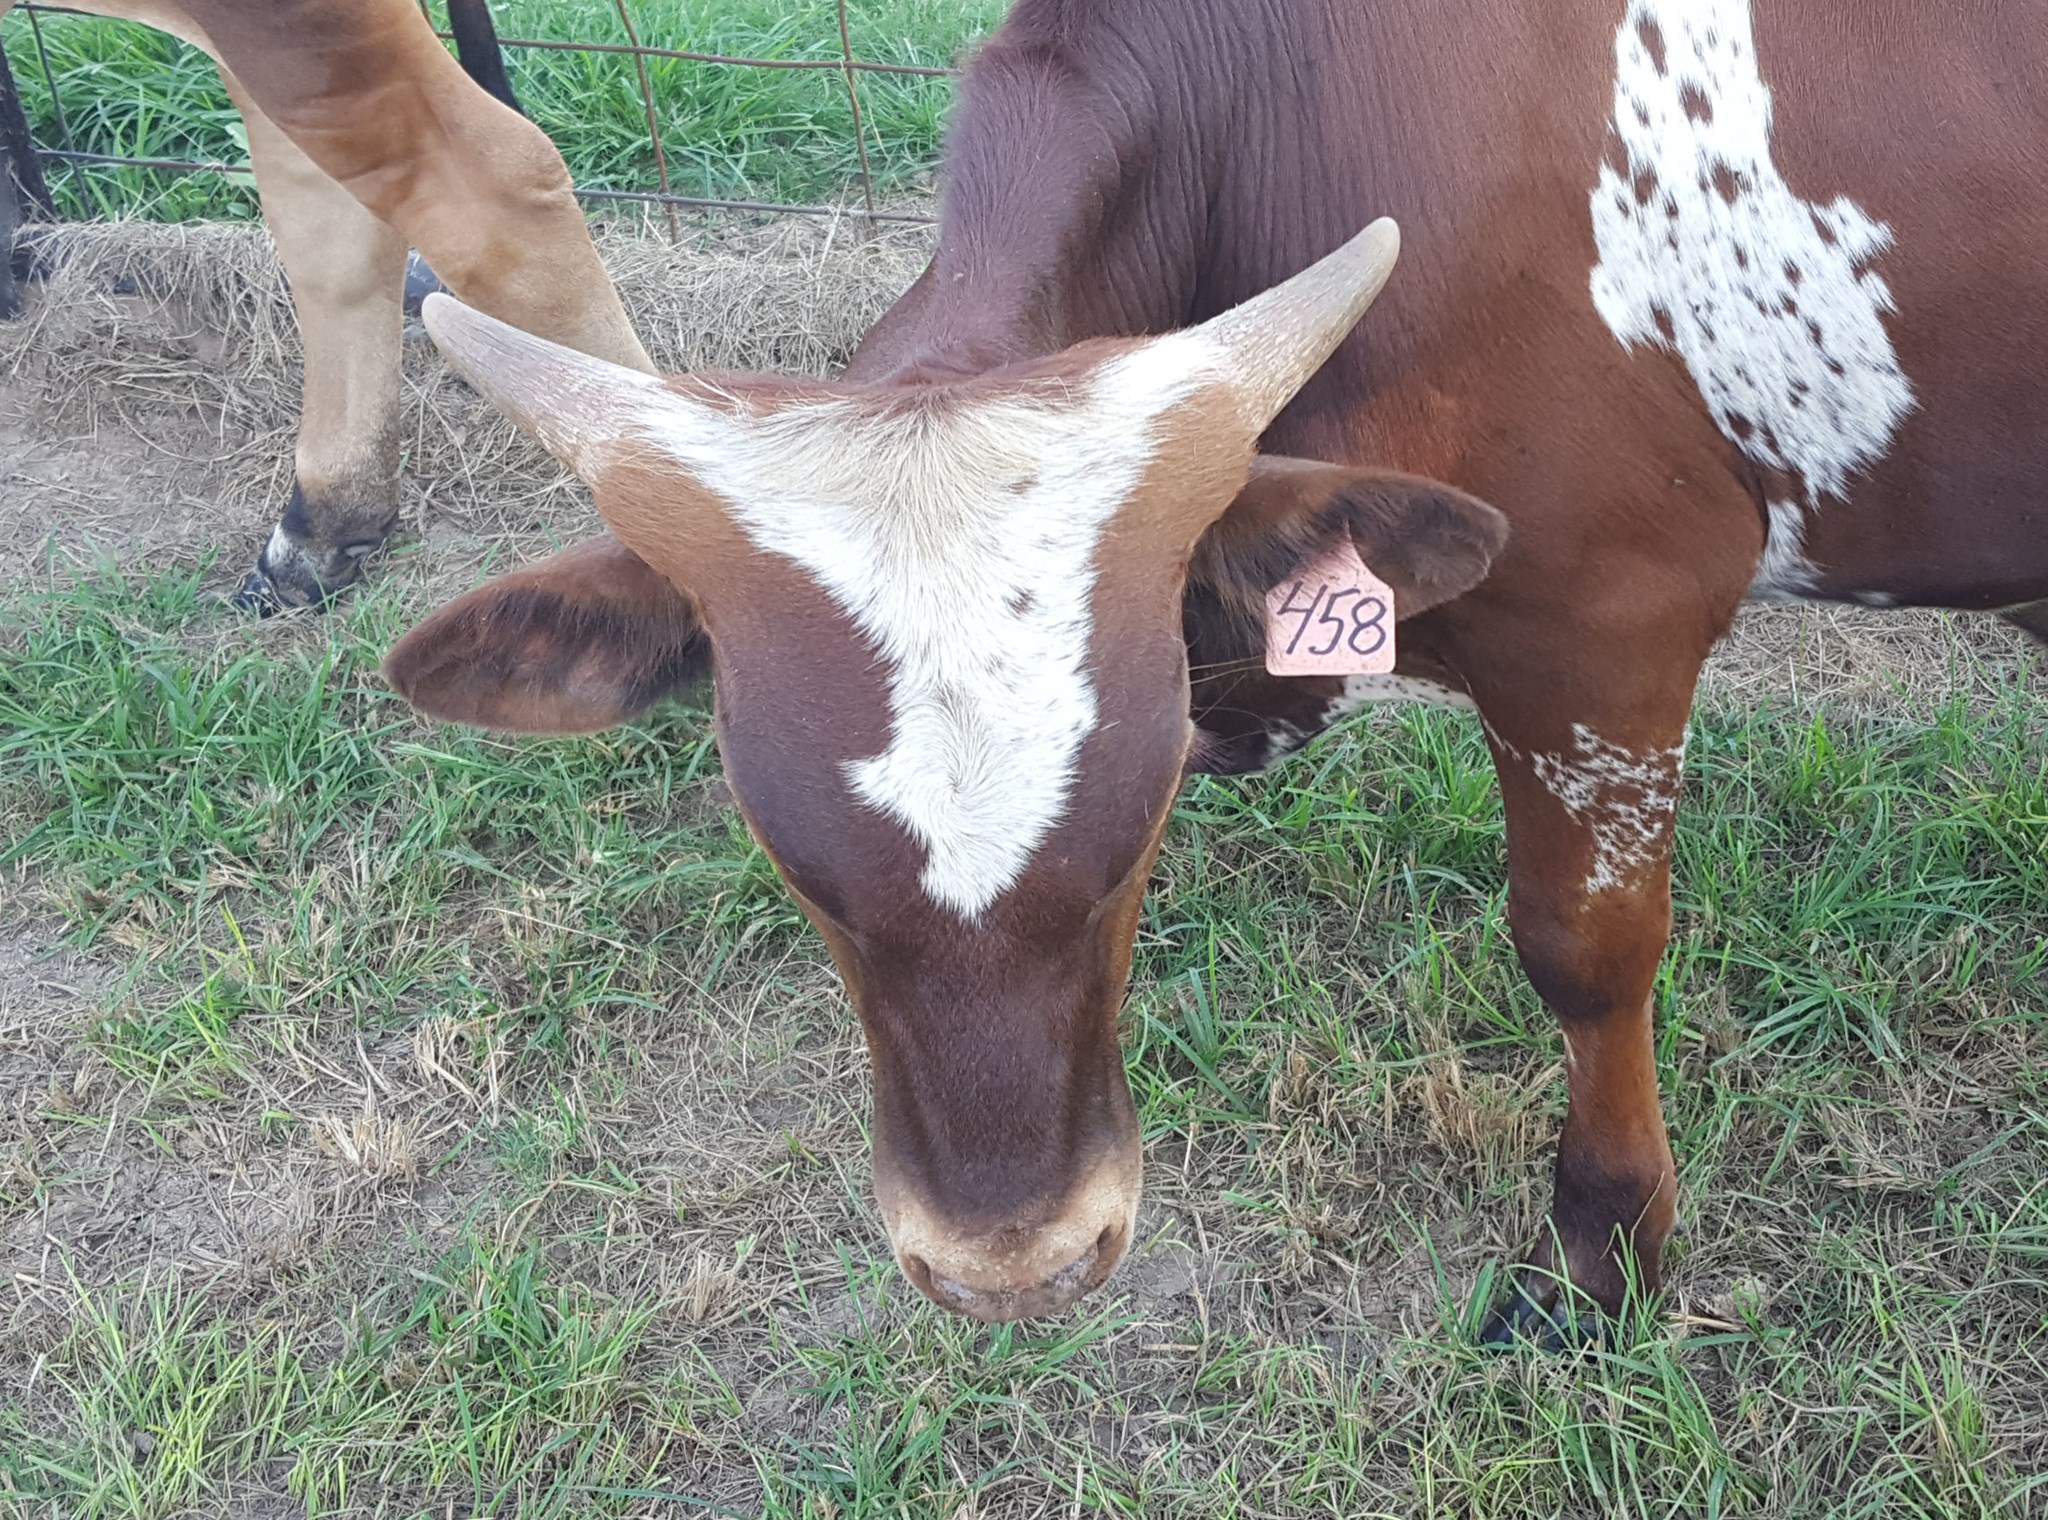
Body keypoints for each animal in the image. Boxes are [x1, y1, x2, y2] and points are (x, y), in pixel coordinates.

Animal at [385, 0, 2043, 1339]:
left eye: (1127, 856)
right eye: (805, 880)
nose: (1012, 1271)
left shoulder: (1602, 624)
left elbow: (1586, 948)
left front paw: (1603, 1252)